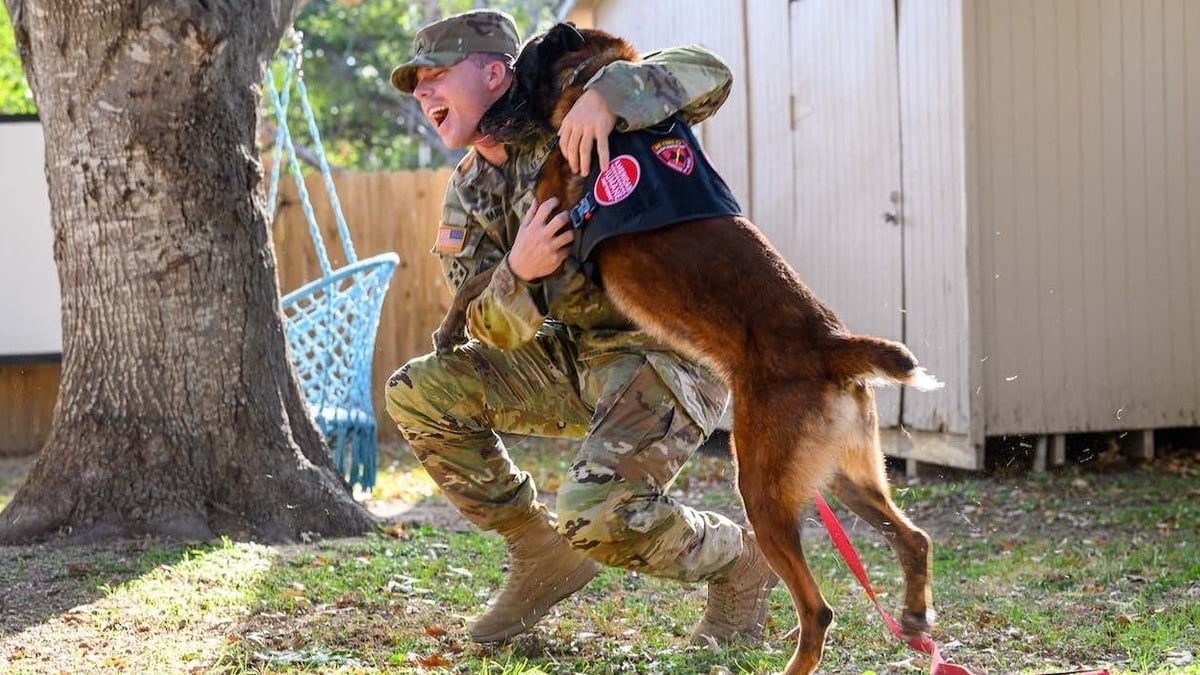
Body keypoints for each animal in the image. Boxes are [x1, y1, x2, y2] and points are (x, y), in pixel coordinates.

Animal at [436, 23, 940, 667]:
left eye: (515, 72)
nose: (481, 120)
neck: (584, 85)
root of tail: (832, 343)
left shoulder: (546, 234)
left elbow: (480, 278)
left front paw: (450, 326)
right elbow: (485, 277)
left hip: (761, 486)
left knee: (818, 609)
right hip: (847, 478)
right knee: (915, 537)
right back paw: (915, 616)